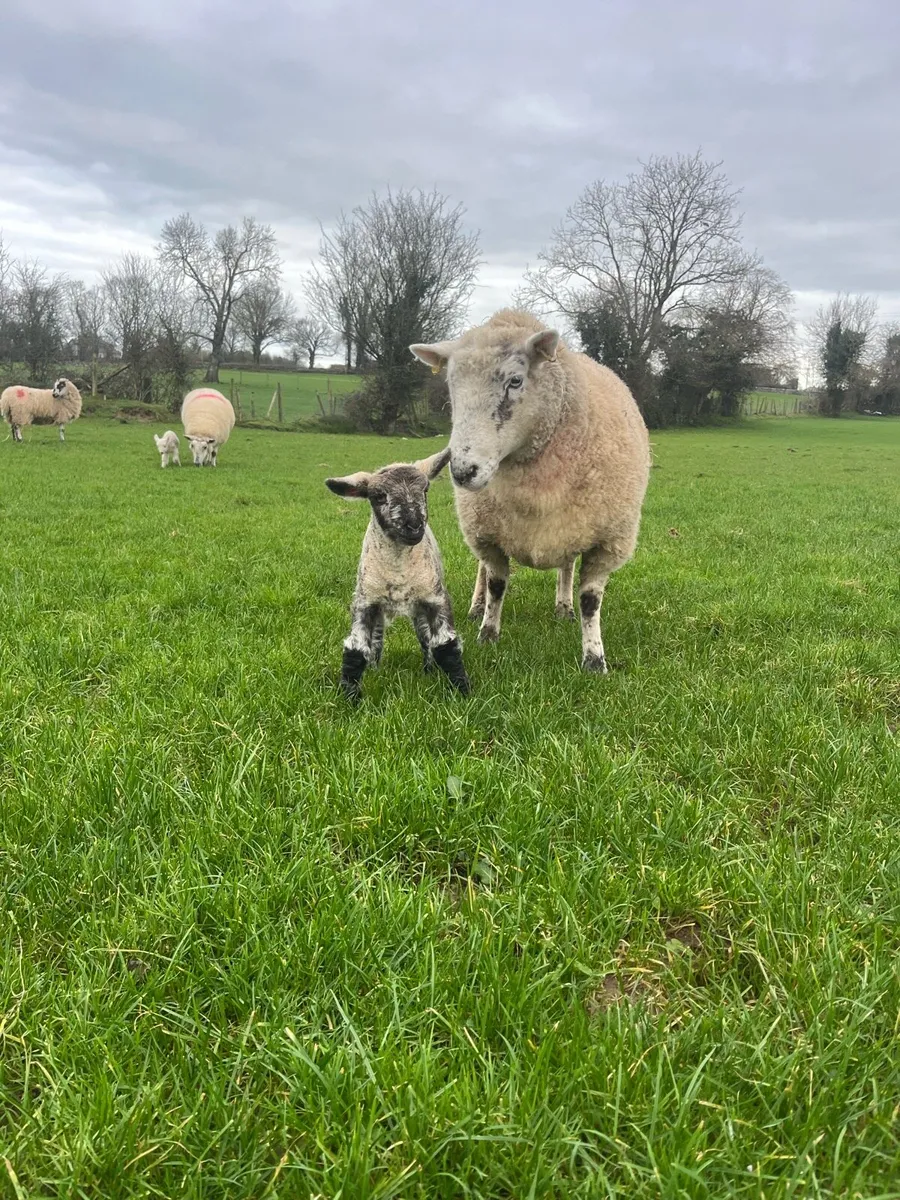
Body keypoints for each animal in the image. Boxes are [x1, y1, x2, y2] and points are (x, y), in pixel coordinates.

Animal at [325, 446, 470, 702]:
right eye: (379, 497)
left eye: (425, 490)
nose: (414, 525)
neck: (399, 571)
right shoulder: (364, 602)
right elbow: (356, 649)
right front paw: (350, 698)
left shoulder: (435, 598)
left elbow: (446, 645)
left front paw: (462, 691)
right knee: (376, 640)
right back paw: (375, 669)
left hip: (420, 607)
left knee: (426, 639)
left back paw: (429, 669)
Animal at [410, 308, 650, 673]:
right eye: (452, 385)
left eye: (515, 381)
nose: (463, 472)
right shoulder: (488, 534)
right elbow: (496, 584)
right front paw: (488, 634)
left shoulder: (609, 542)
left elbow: (590, 601)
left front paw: (594, 659)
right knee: (482, 570)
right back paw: (477, 606)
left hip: (573, 527)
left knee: (566, 567)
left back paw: (564, 607)